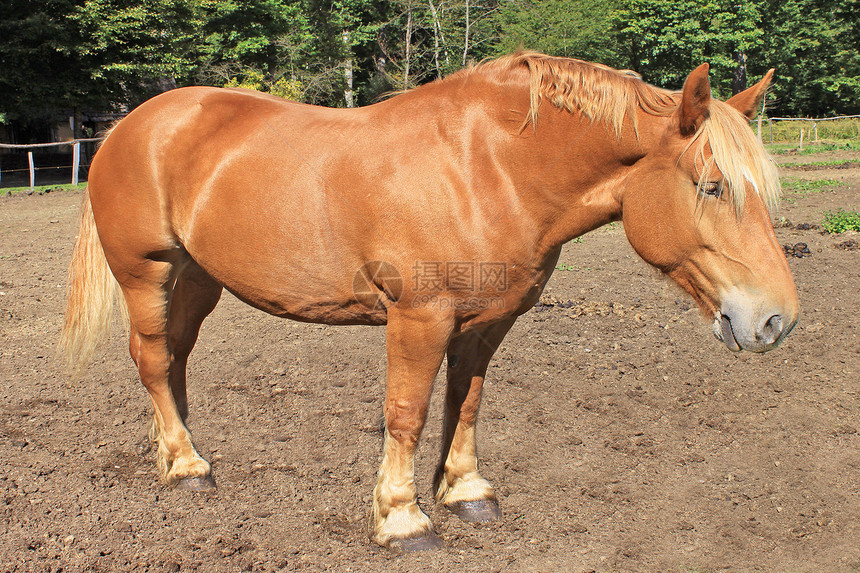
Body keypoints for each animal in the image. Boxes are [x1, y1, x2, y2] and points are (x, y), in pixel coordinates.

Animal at [60, 52, 800, 548]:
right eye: (711, 186)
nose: (775, 320)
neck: (488, 168)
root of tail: (129, 127)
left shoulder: (487, 321)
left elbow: (464, 402)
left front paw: (466, 491)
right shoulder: (418, 317)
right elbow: (407, 412)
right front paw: (401, 517)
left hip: (198, 277)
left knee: (175, 359)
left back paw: (177, 448)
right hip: (147, 273)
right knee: (153, 359)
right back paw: (185, 465)